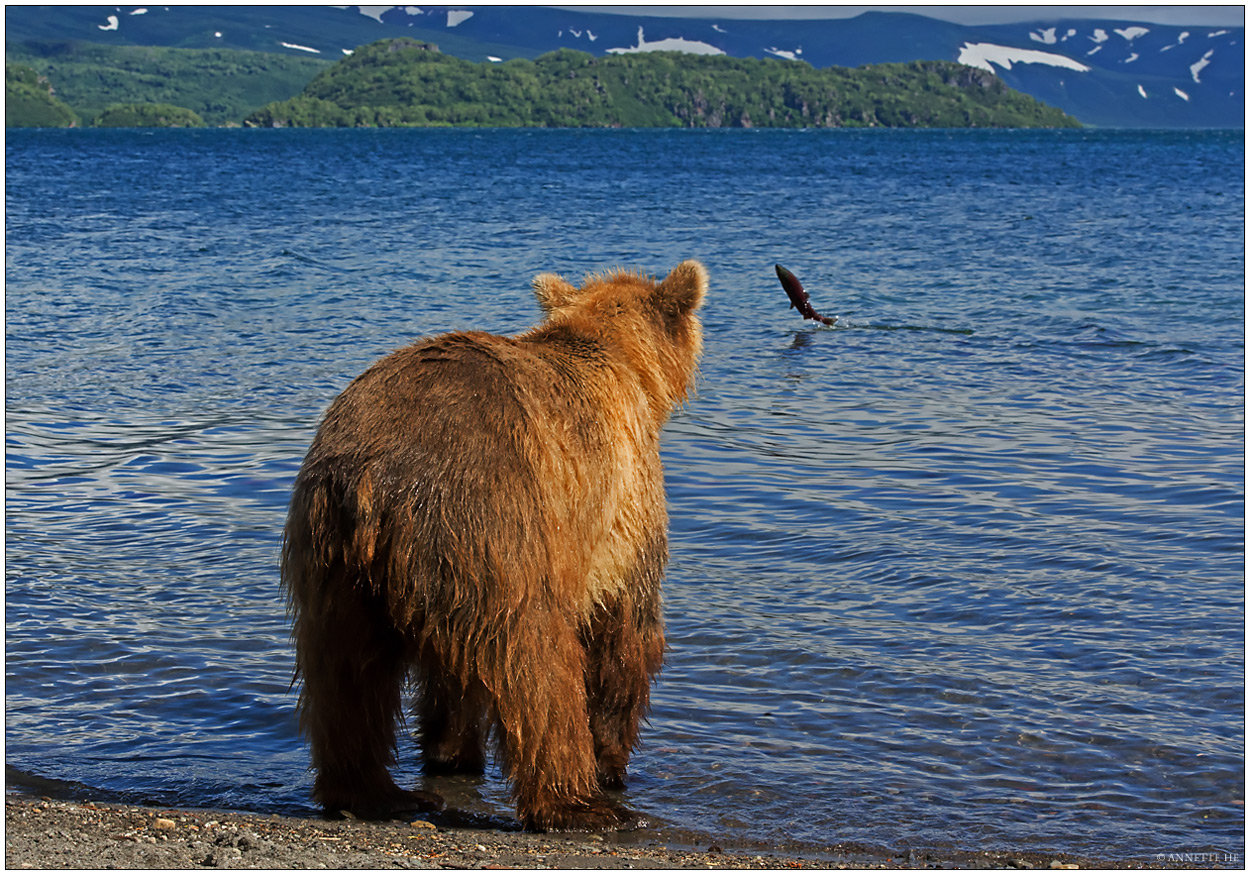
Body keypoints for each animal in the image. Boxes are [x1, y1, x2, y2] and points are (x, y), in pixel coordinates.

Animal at [283, 257, 710, 825]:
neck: (624, 367)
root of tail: (376, 469)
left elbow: (449, 673)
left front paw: (449, 752)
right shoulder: (624, 503)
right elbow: (623, 630)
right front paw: (612, 760)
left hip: (335, 559)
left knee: (345, 679)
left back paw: (375, 792)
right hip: (491, 521)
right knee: (536, 656)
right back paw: (578, 803)